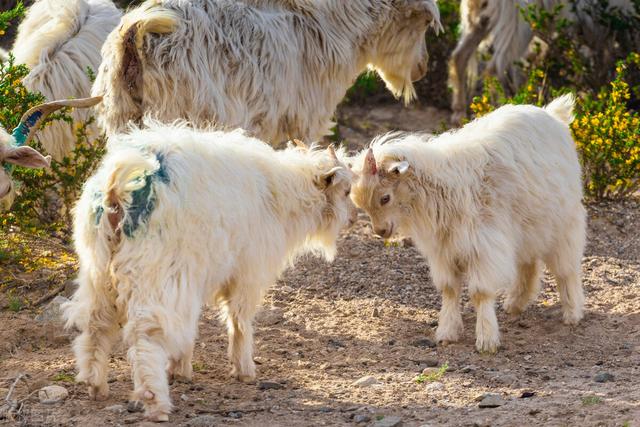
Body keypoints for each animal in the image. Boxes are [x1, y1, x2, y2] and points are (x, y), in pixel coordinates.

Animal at [64, 125, 356, 422]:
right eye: (346, 191)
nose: (354, 218)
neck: (280, 194)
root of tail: (117, 187)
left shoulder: (196, 276)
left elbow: (193, 323)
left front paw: (181, 367)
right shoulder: (244, 273)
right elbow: (239, 320)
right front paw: (244, 369)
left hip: (98, 267)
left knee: (96, 322)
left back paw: (95, 384)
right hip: (153, 270)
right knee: (146, 333)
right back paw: (155, 401)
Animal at [350, 93, 584, 354]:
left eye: (385, 198)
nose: (380, 231)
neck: (440, 189)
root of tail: (553, 114)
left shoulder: (484, 246)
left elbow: (480, 292)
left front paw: (486, 340)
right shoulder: (443, 250)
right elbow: (449, 289)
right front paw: (446, 332)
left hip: (563, 223)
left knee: (566, 268)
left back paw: (572, 313)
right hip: (527, 226)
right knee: (529, 263)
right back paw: (515, 303)